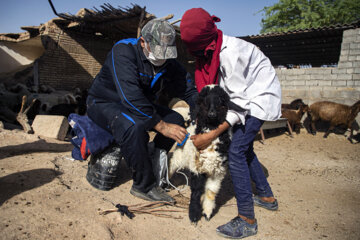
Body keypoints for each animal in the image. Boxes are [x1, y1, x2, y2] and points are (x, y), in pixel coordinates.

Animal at [168, 85, 231, 224]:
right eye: (203, 101)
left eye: (221, 101)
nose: (212, 114)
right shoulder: (197, 169)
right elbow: (196, 193)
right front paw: (194, 217)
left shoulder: (218, 172)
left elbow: (210, 192)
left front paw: (207, 213)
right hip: (180, 155)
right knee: (171, 164)